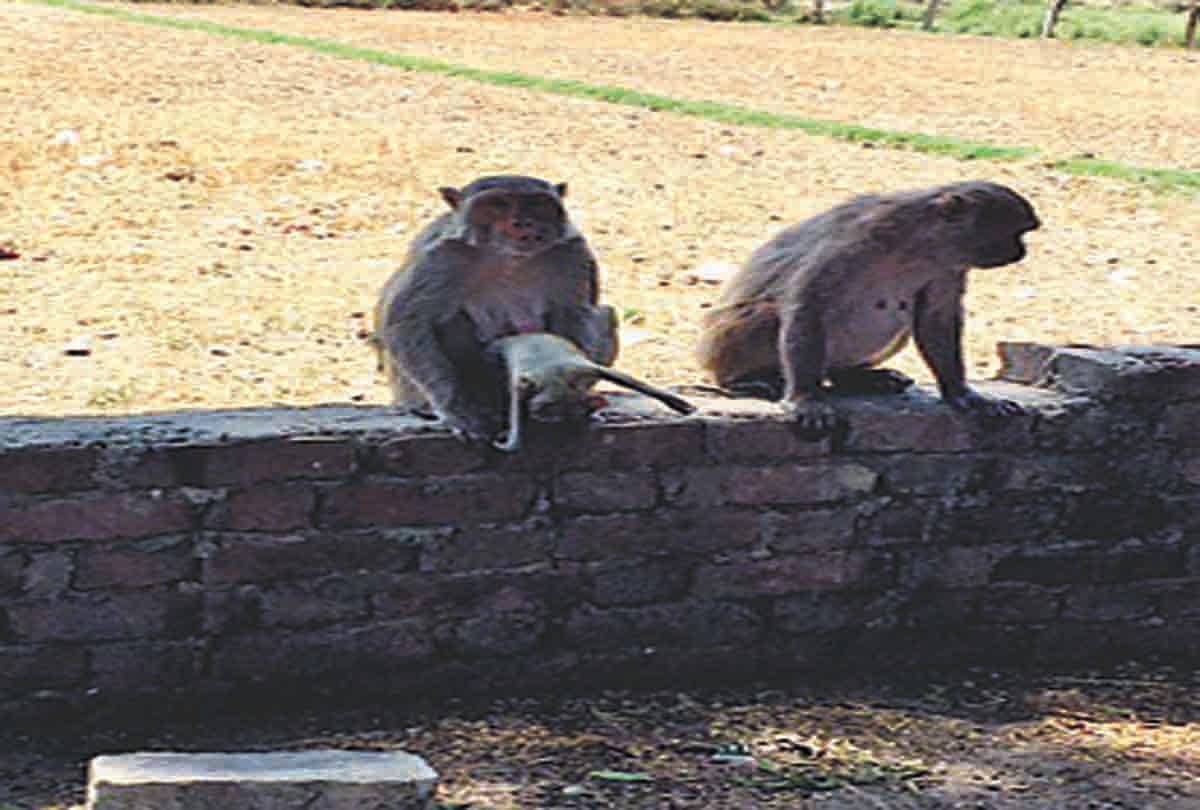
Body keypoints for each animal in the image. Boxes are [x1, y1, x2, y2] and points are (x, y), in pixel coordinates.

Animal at [373, 175, 617, 442]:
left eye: (536, 204)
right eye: (497, 204)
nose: (522, 222)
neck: (508, 257)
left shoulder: (571, 254)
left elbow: (573, 313)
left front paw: (569, 398)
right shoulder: (443, 258)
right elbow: (406, 320)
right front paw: (459, 411)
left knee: (606, 314)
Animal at [487, 330, 696, 453]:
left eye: (569, 415)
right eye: (548, 406)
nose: (542, 413)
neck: (560, 381)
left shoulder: (584, 368)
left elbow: (634, 382)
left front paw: (682, 405)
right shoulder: (525, 382)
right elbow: (515, 411)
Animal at [696, 180, 1041, 435]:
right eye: (1016, 233)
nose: (1022, 252)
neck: (917, 243)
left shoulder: (948, 266)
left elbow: (935, 319)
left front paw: (961, 393)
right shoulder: (853, 240)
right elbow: (808, 306)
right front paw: (805, 399)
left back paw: (851, 377)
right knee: (768, 315)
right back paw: (741, 380)